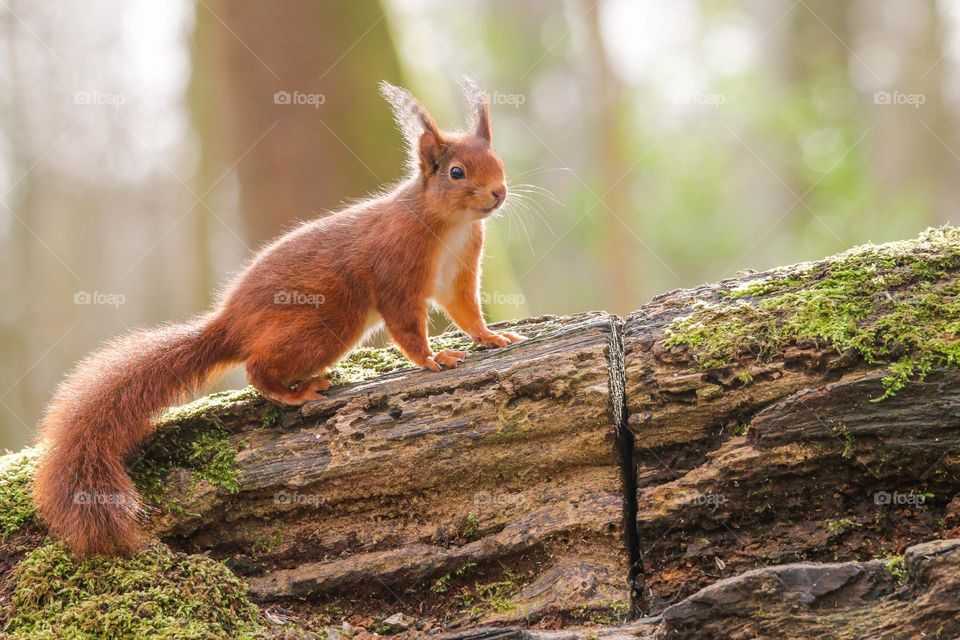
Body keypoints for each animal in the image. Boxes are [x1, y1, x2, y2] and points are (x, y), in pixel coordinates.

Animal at [33, 80, 524, 556]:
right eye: (456, 172)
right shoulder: (395, 269)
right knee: (256, 368)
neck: (451, 223)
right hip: (326, 324)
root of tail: (228, 327)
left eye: (498, 161)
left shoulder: (459, 272)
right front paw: (432, 359)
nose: (499, 192)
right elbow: (405, 324)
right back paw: (295, 392)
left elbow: (465, 310)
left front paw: (491, 337)